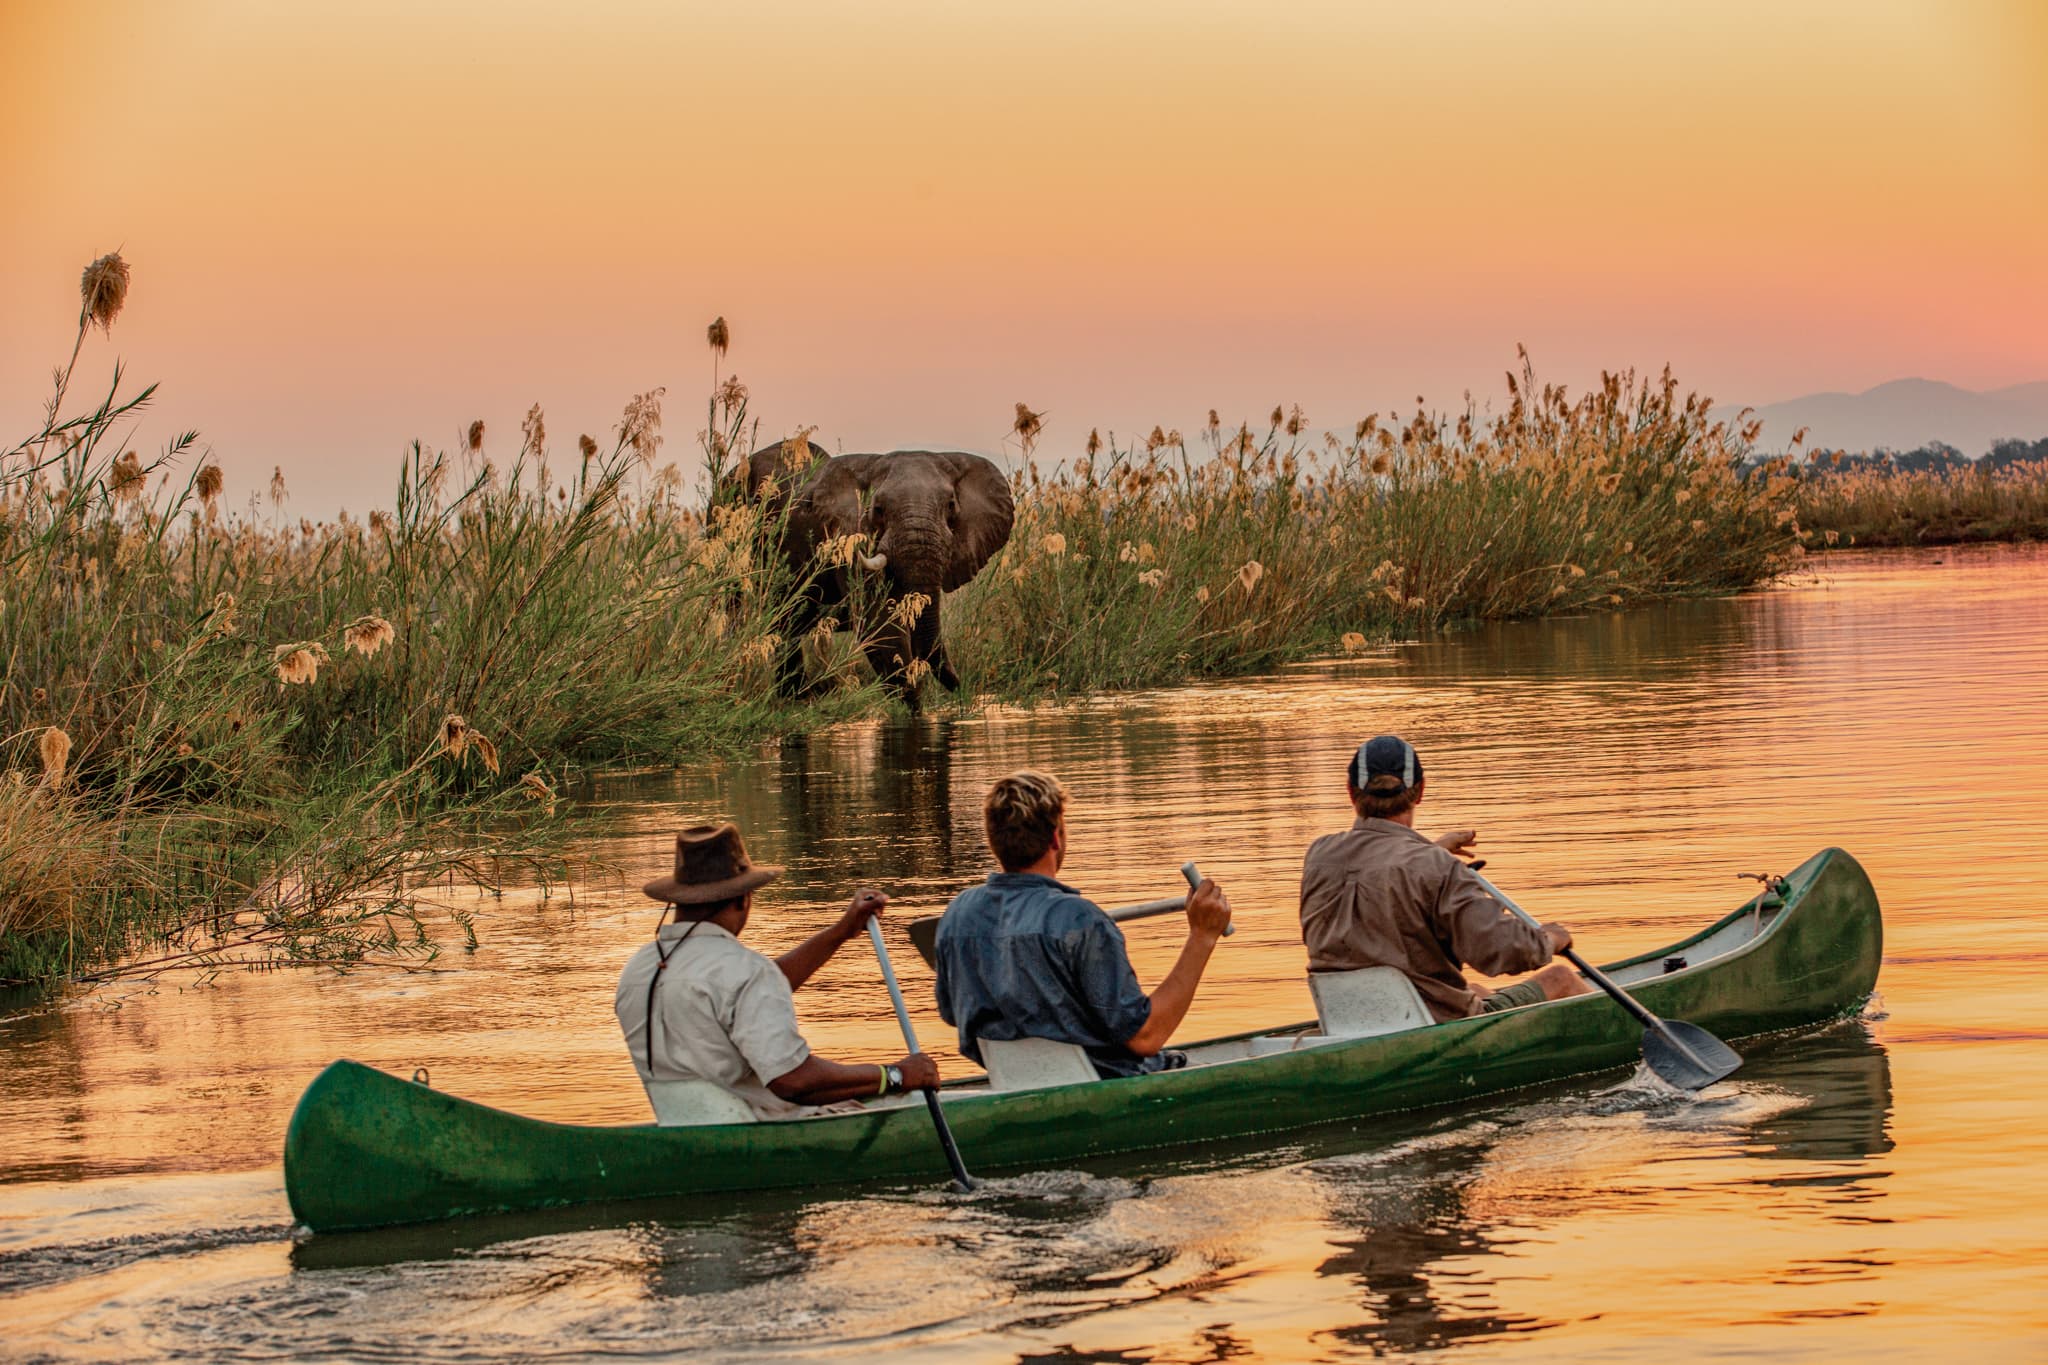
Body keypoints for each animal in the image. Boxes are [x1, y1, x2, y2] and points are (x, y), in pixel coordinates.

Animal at [741, 440, 1014, 706]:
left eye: (950, 506)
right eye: (879, 509)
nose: (962, 690)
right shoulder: (848, 539)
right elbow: (882, 624)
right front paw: (913, 704)